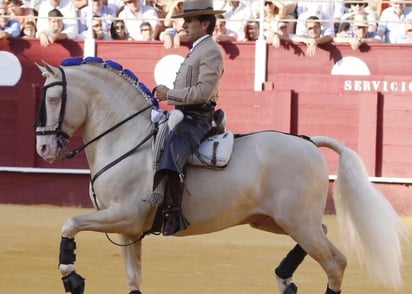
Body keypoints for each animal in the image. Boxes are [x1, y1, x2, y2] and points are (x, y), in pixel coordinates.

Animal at [35, 58, 408, 294]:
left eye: (52, 98)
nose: (43, 147)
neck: (127, 138)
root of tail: (308, 141)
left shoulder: (125, 214)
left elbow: (69, 223)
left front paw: (71, 278)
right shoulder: (129, 229)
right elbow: (133, 279)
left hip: (296, 221)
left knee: (335, 263)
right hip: (277, 220)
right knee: (324, 238)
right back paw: (284, 278)